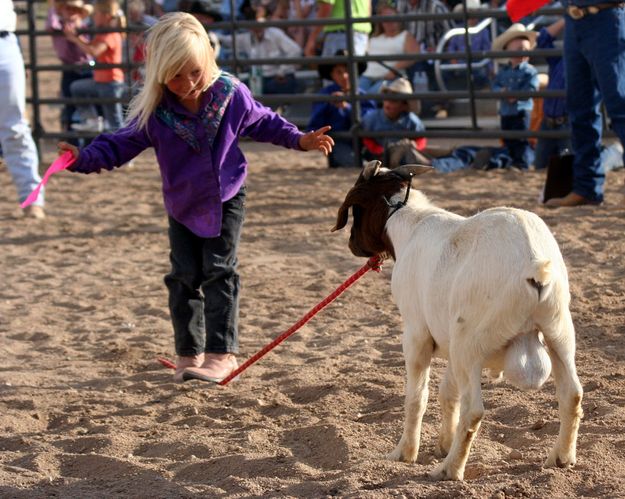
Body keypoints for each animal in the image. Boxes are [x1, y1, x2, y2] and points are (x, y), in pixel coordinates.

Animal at [334, 163, 584, 480]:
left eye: (357, 211)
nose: (351, 244)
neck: (410, 223)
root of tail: (535, 265)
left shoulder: (416, 333)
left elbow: (417, 397)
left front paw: (405, 453)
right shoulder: (449, 341)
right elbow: (447, 393)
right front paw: (443, 443)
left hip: (469, 342)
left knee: (474, 410)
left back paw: (449, 470)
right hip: (557, 332)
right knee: (572, 395)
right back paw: (561, 458)